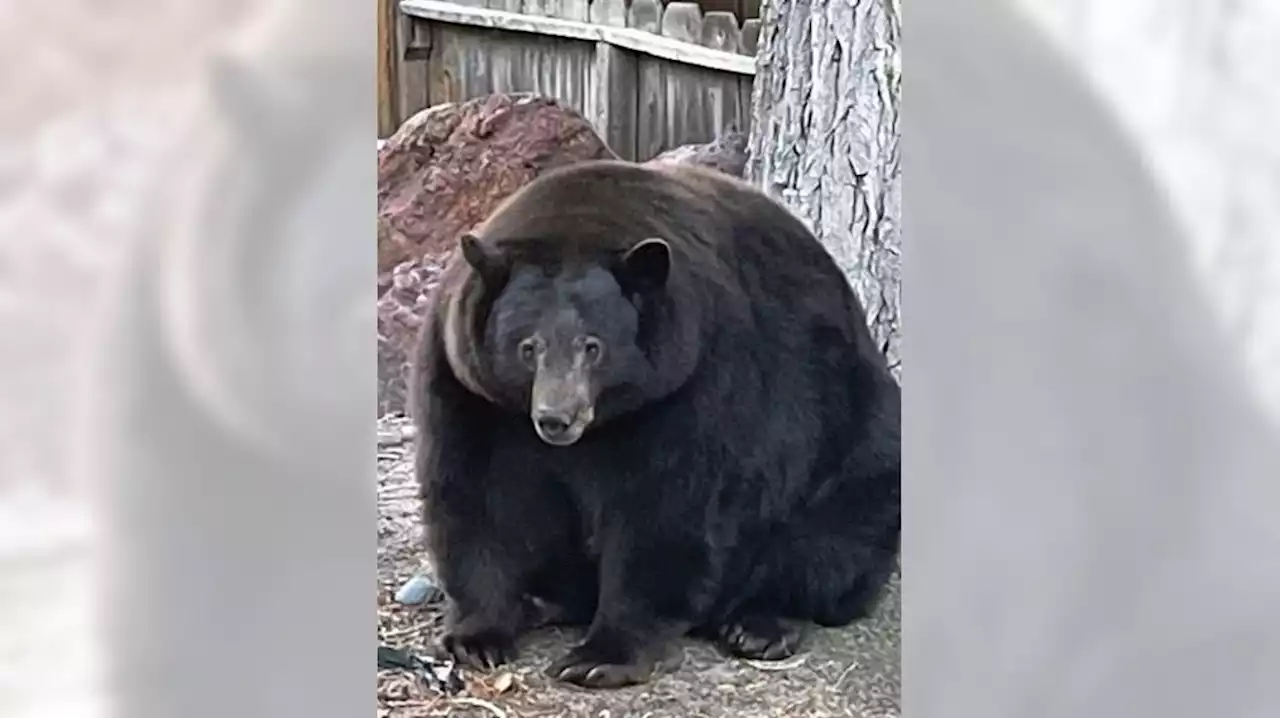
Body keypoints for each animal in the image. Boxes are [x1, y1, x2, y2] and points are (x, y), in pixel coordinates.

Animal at [409, 158, 901, 691]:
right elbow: (477, 494)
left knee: (831, 540)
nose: (556, 418)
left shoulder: (694, 380)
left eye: (593, 346)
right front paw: (477, 636)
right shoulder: (470, 389)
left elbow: (665, 508)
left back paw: (760, 624)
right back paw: (543, 601)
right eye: (528, 346)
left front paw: (600, 656)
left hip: (851, 442)